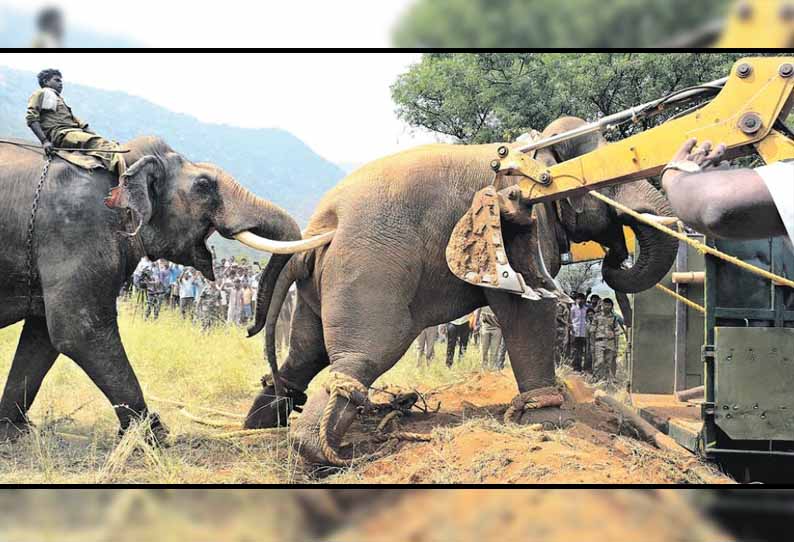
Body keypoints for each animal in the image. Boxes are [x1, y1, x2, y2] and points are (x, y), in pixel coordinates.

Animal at [0, 135, 328, 442]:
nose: (248, 330)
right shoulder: (77, 229)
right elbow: (78, 330)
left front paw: (14, 430)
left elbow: (42, 335)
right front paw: (156, 435)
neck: (122, 161)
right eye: (204, 185)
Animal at [246, 119, 676, 468]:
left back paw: (259, 424)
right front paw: (552, 424)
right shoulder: (521, 222)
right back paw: (328, 454)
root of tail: (321, 227)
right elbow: (527, 307)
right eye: (610, 182)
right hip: (369, 271)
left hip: (320, 285)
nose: (613, 259)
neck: (533, 151)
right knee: (366, 353)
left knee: (306, 352)